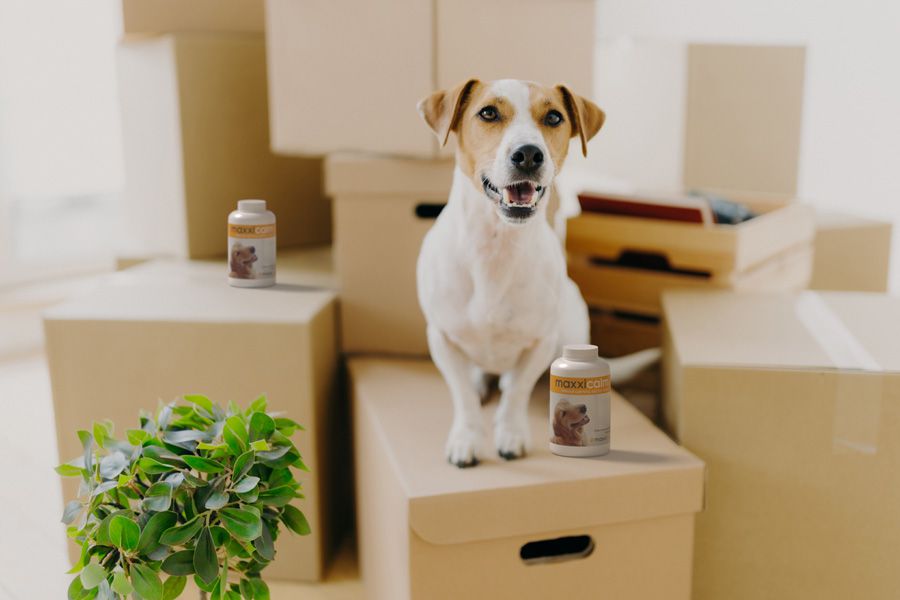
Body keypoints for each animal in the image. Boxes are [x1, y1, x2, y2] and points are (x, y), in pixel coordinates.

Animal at [418, 77, 656, 466]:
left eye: (554, 117)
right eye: (488, 112)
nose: (528, 154)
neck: (496, 246)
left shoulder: (541, 342)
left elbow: (516, 391)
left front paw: (510, 432)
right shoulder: (442, 339)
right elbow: (463, 396)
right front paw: (467, 436)